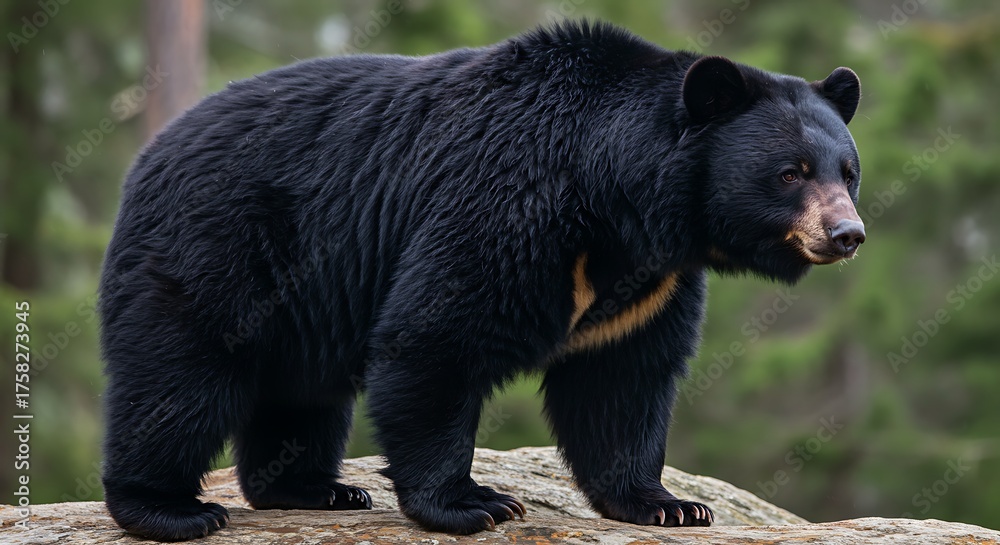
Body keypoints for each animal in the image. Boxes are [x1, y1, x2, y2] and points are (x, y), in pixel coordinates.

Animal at [99, 20, 864, 541]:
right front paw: (475, 502)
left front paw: (669, 503)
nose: (847, 234)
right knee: (178, 377)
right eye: (791, 172)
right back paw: (170, 508)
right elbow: (437, 334)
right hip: (219, 245)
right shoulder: (509, 202)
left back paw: (313, 489)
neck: (623, 202)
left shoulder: (651, 281)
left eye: (848, 171)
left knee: (301, 389)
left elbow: (622, 377)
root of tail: (149, 153)